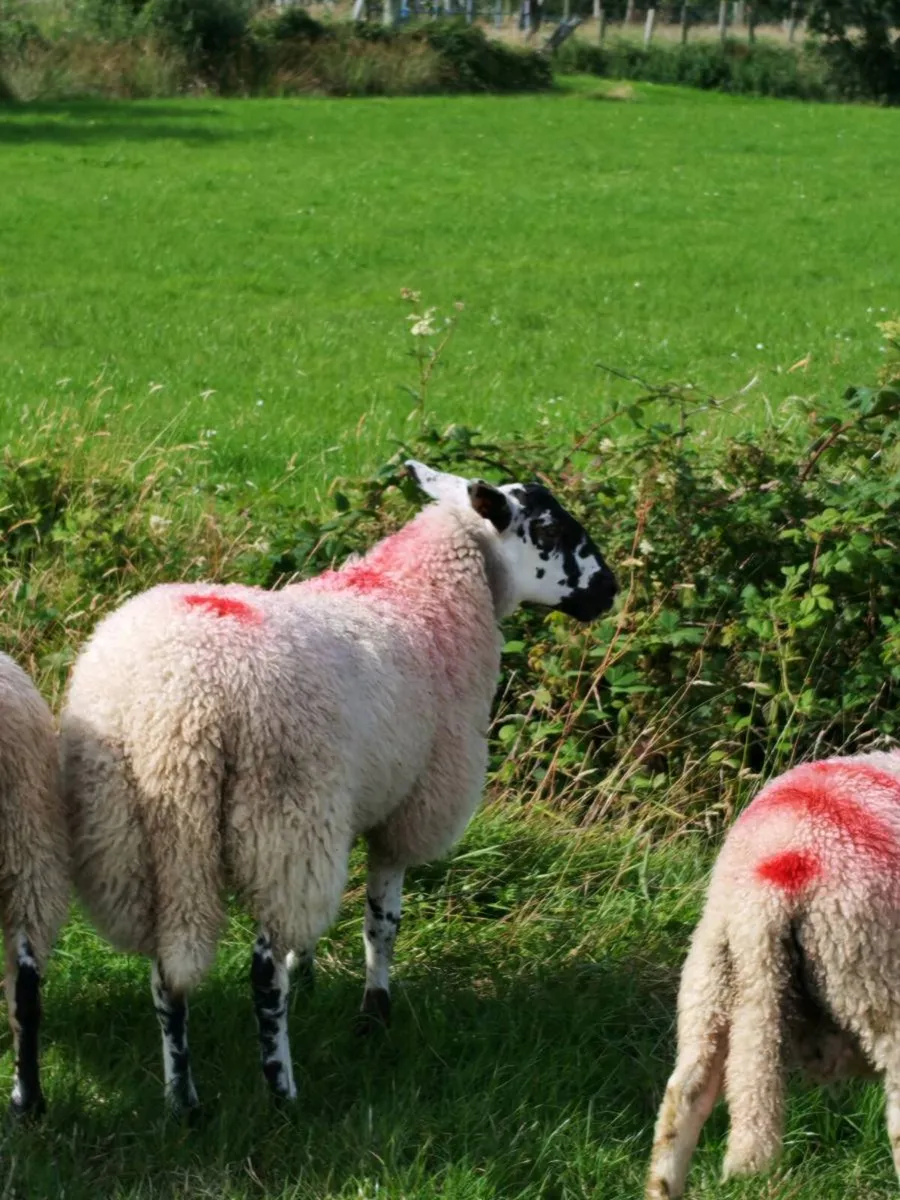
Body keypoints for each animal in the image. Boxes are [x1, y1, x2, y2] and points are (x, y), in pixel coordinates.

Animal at [59, 460, 617, 1112]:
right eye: (550, 530)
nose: (609, 590)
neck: (417, 592)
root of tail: (179, 705)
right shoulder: (406, 809)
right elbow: (382, 922)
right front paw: (374, 1015)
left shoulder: (348, 804)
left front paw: (310, 974)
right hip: (281, 815)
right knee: (259, 974)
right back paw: (282, 1091)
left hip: (140, 833)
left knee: (166, 973)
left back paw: (184, 1100)